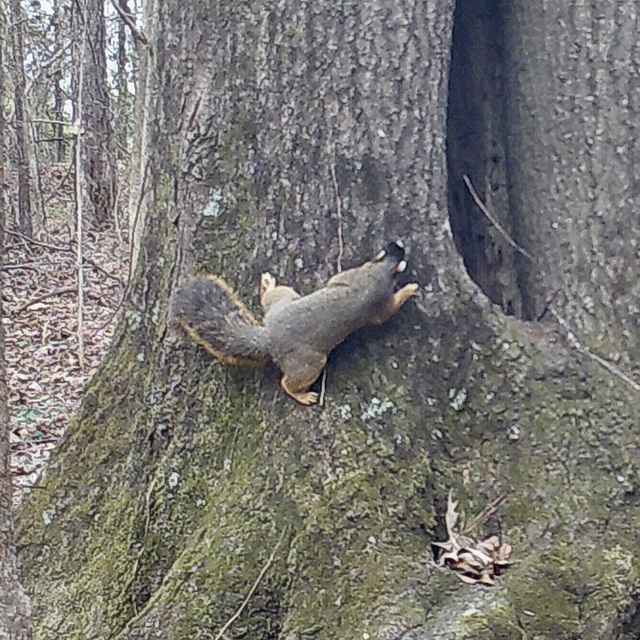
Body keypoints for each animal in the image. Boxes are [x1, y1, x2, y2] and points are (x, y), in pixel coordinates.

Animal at [172, 240, 418, 404]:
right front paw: (409, 290)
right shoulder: (380, 301)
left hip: (284, 298)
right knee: (287, 383)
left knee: (269, 297)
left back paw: (268, 284)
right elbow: (387, 312)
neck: (377, 272)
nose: (400, 244)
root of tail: (269, 337)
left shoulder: (351, 276)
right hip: (308, 363)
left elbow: (335, 280)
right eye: (395, 250)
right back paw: (302, 395)